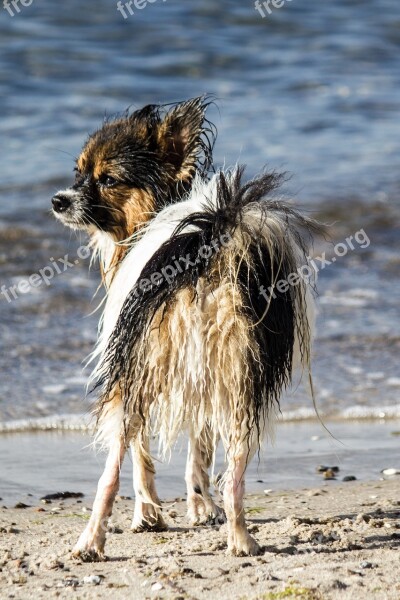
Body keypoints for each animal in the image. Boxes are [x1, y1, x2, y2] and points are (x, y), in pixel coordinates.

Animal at [52, 96, 322, 560]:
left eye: (107, 180)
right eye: (78, 172)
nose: (58, 200)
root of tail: (208, 256)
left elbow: (142, 456)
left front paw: (149, 514)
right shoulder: (203, 378)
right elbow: (201, 447)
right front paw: (200, 507)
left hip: (134, 379)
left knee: (111, 473)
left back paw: (92, 539)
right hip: (242, 379)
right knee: (234, 474)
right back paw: (239, 538)